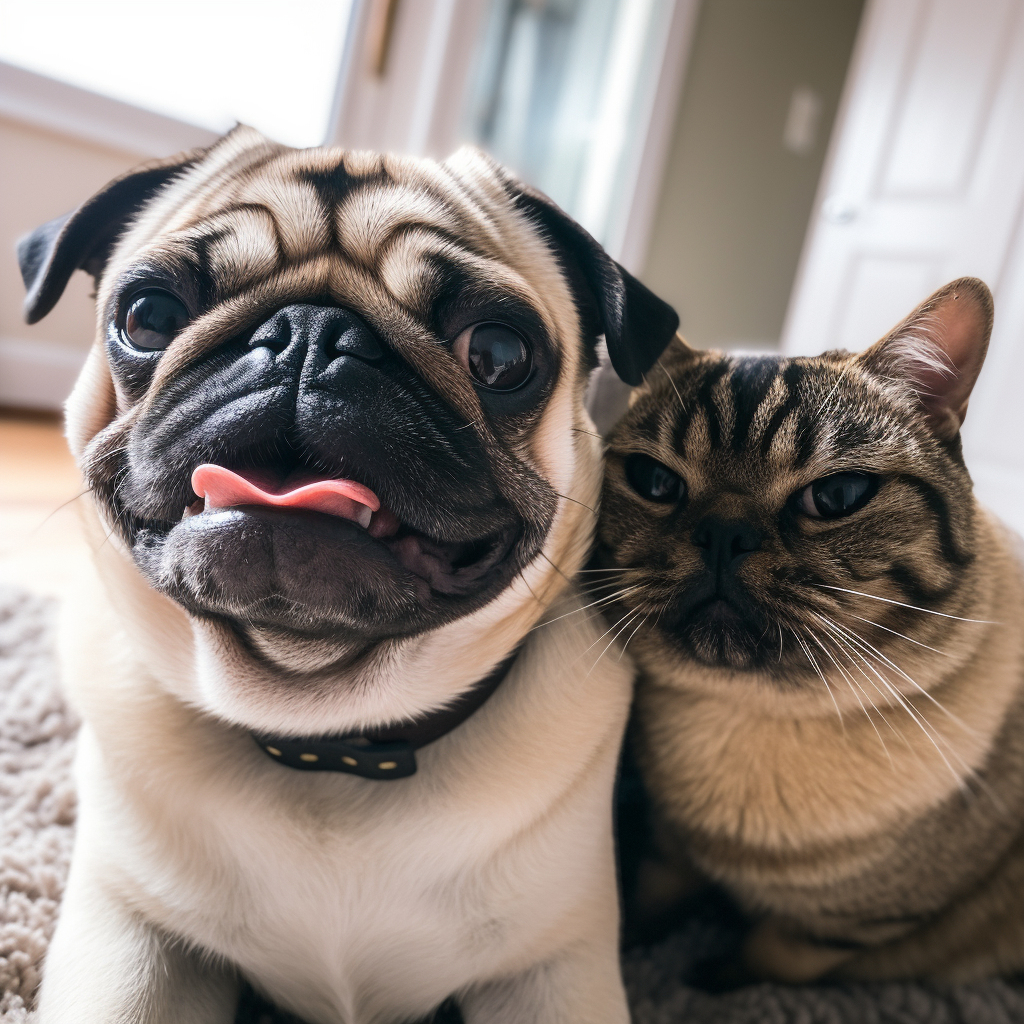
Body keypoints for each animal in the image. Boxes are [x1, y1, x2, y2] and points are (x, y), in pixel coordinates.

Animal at [19, 130, 675, 1024]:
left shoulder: (552, 969)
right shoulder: (129, 930)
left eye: (500, 354)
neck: (327, 739)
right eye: (147, 316)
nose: (310, 332)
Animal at [598, 276, 1024, 978]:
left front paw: (711, 978)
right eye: (655, 482)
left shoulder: (842, 930)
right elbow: (651, 899)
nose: (723, 533)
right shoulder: (669, 849)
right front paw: (632, 948)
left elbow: (769, 956)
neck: (749, 715)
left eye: (837, 497)